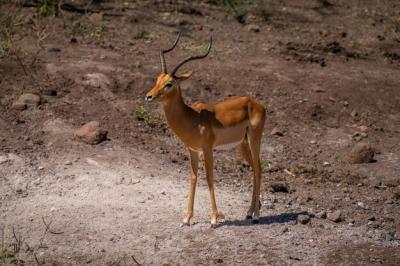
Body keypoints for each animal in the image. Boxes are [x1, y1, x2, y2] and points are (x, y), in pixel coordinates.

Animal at [145, 31, 266, 227]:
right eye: (157, 79)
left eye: (169, 84)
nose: (148, 96)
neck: (192, 118)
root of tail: (256, 104)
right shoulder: (193, 150)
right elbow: (193, 178)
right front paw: (187, 218)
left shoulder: (207, 149)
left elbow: (209, 177)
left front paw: (215, 218)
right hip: (242, 144)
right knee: (255, 169)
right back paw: (249, 212)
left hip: (255, 139)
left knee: (259, 168)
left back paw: (255, 215)